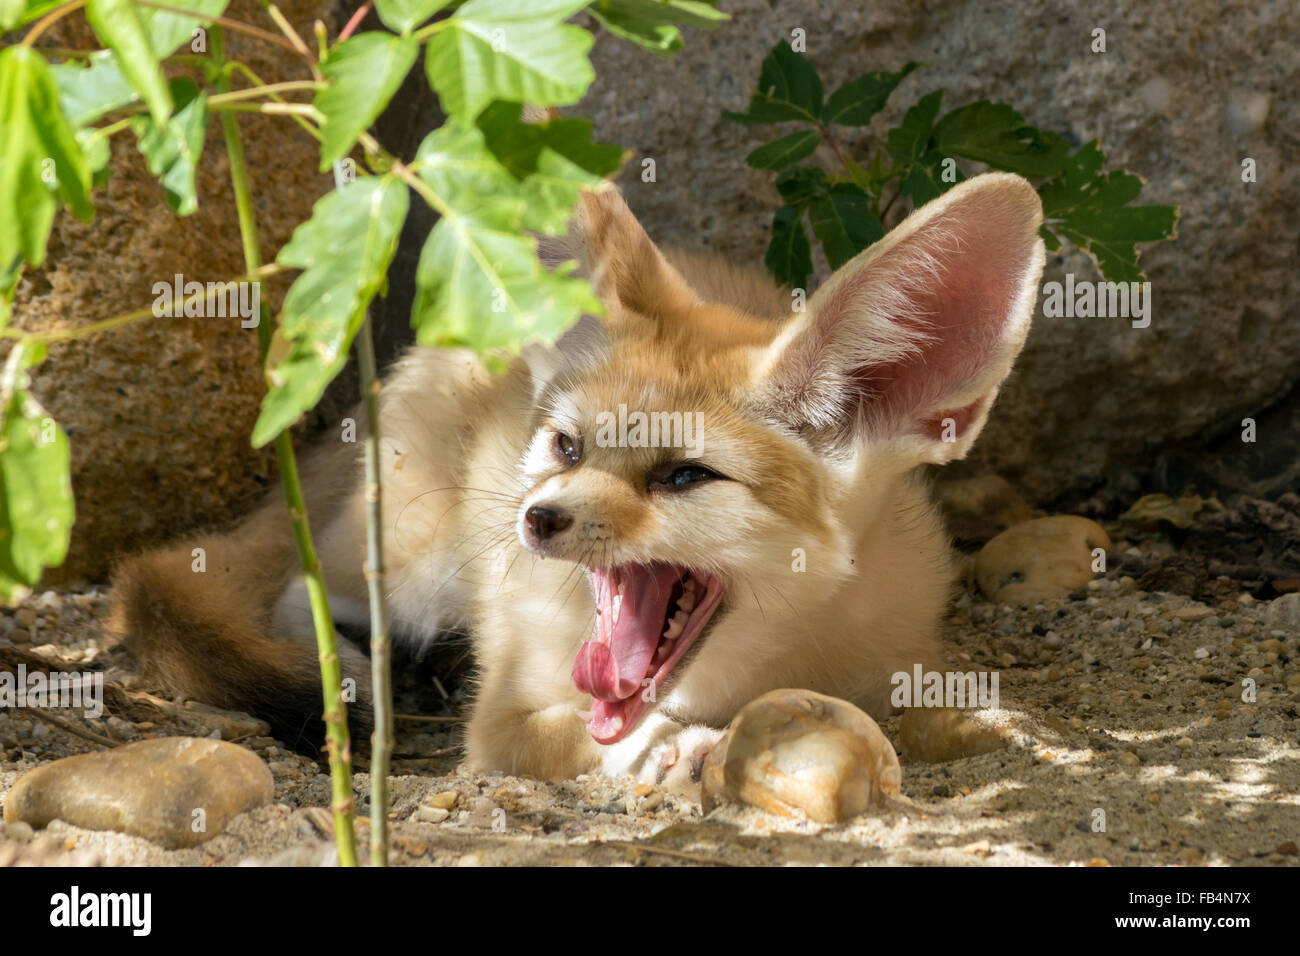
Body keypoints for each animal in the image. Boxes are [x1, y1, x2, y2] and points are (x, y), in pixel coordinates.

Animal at [109, 171, 1046, 796]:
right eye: (566, 446)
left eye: (684, 475)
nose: (538, 519)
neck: (746, 675)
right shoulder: (498, 724)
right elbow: (578, 736)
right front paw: (668, 749)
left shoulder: (897, 659)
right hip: (416, 563)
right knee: (298, 590)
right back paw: (347, 670)